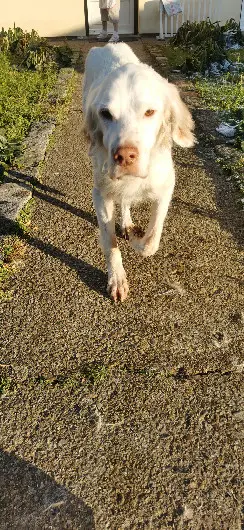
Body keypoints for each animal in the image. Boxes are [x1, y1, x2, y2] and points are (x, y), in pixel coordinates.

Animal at [83, 43, 195, 302]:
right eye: (105, 114)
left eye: (149, 112)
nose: (124, 157)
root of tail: (108, 44)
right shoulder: (100, 194)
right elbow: (109, 241)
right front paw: (116, 279)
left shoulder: (166, 188)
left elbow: (150, 242)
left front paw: (136, 239)